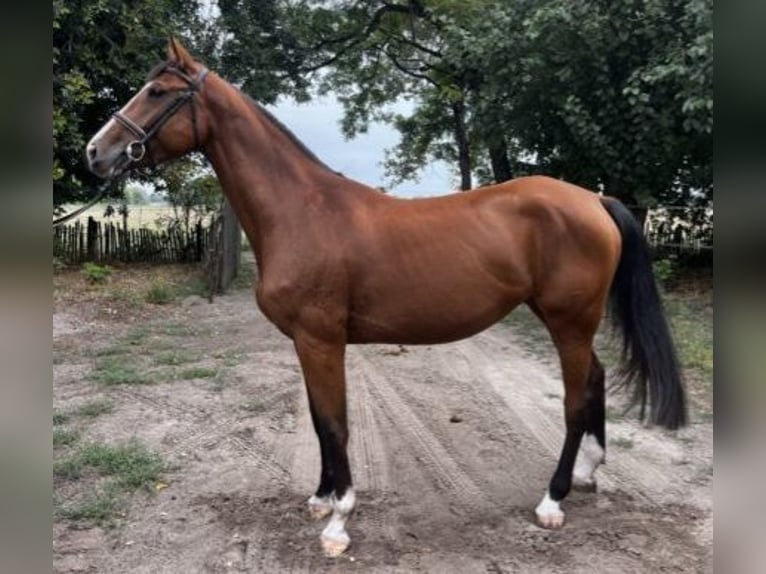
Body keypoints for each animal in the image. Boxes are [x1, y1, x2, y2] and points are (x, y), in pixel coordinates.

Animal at [85, 38, 686, 557]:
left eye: (157, 92)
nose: (96, 152)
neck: (302, 210)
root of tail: (594, 199)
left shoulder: (322, 340)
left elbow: (335, 423)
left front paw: (338, 522)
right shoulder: (306, 343)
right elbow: (318, 419)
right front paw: (320, 497)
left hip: (569, 320)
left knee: (576, 398)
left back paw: (552, 499)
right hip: (565, 319)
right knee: (596, 379)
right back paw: (587, 473)